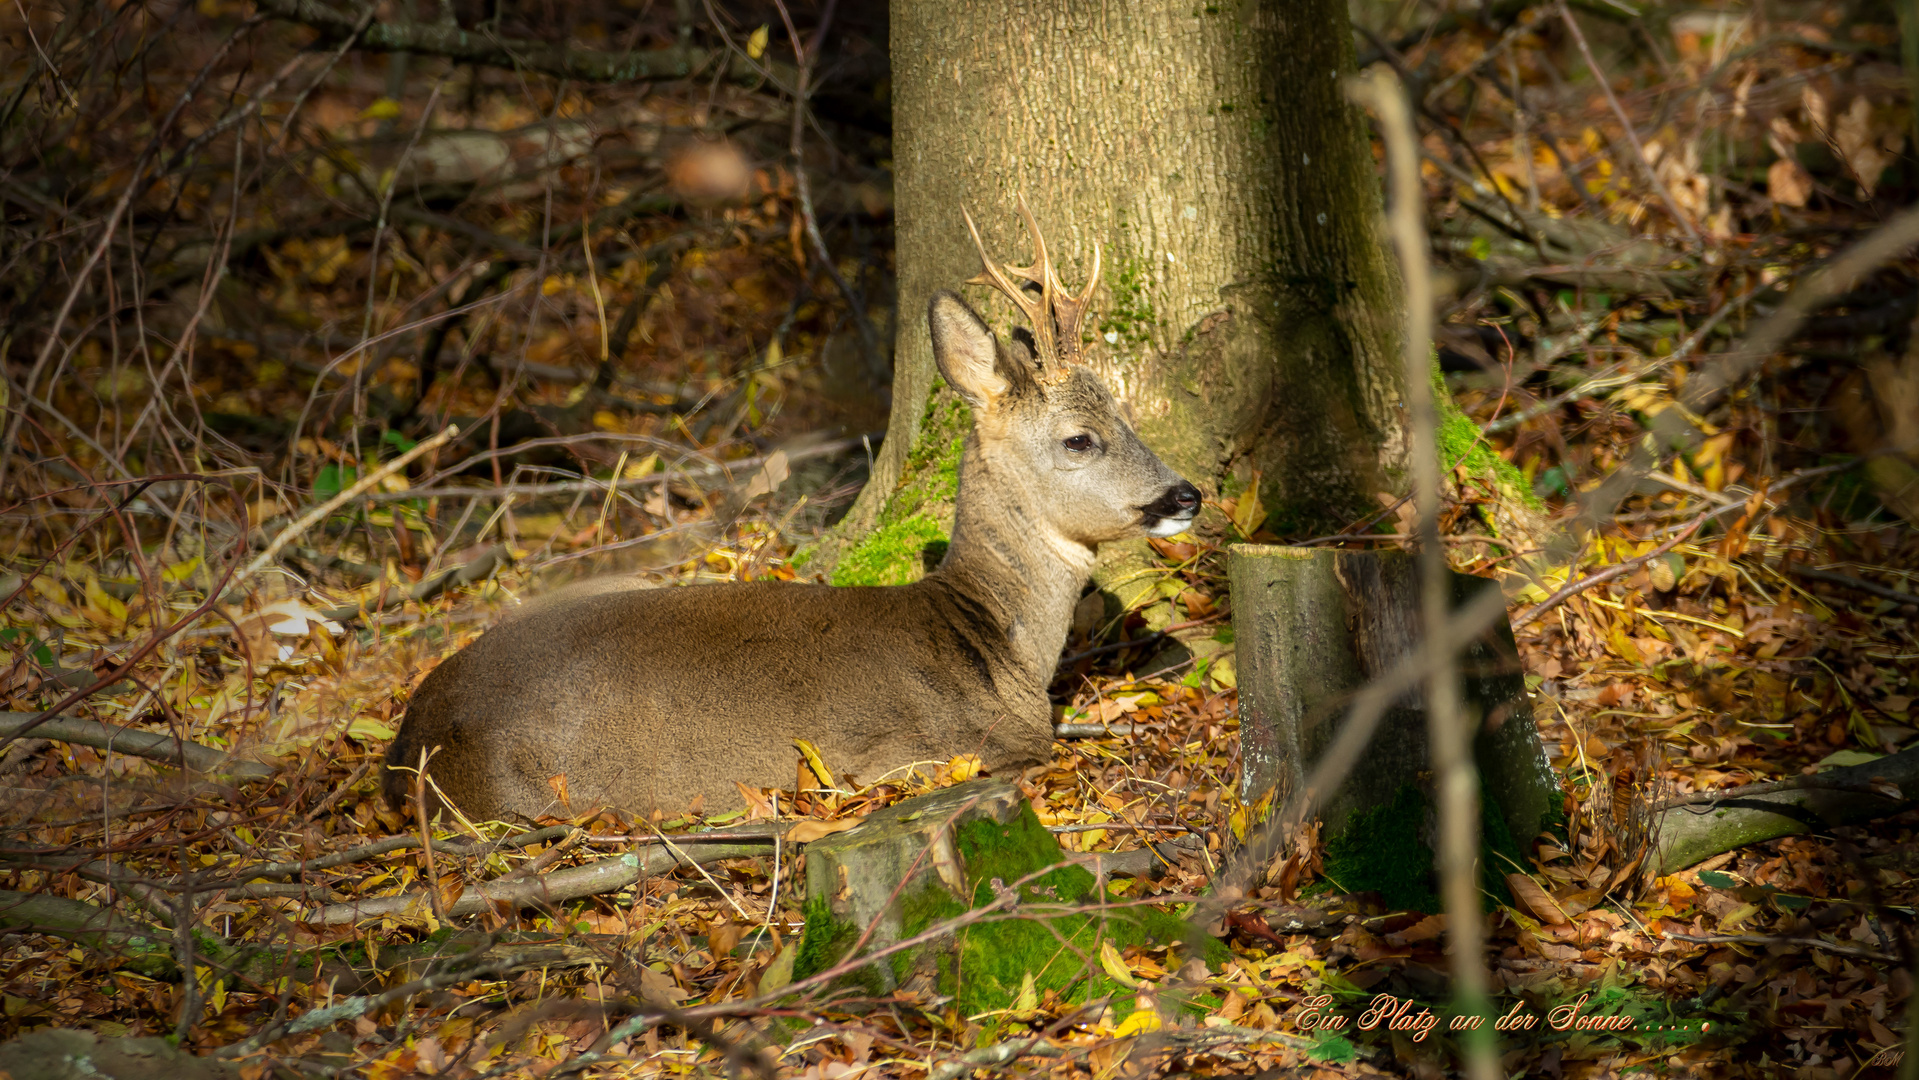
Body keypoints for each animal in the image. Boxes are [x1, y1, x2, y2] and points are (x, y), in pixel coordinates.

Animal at [381, 203, 1197, 824]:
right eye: (1079, 438)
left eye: (1126, 414)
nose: (1185, 494)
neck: (992, 648)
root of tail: (403, 745)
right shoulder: (912, 753)